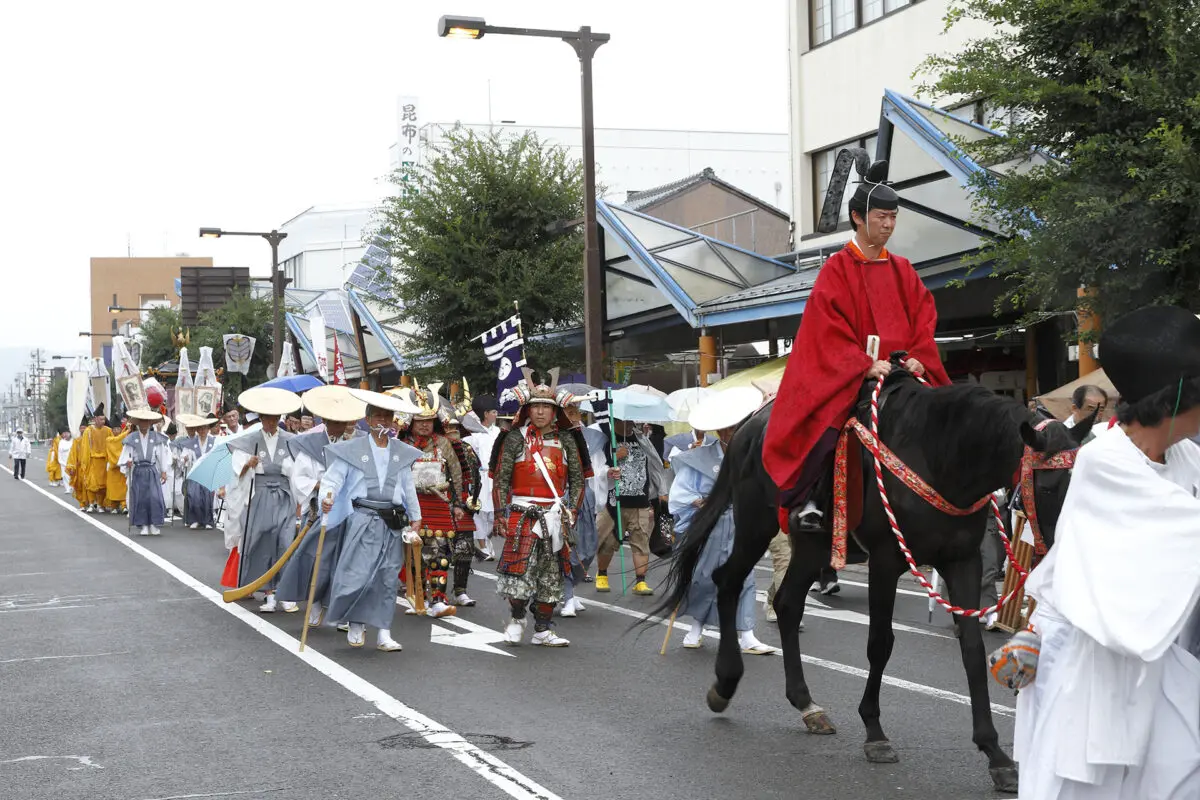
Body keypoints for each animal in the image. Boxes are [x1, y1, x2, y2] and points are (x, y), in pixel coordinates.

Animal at [652, 362, 1094, 796]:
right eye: (1050, 488)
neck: (942, 458)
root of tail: (746, 429)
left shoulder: (962, 560)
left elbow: (971, 649)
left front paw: (996, 755)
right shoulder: (885, 560)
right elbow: (880, 644)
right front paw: (875, 732)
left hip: (812, 544)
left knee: (788, 603)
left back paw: (806, 704)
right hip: (756, 522)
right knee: (727, 580)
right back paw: (725, 684)